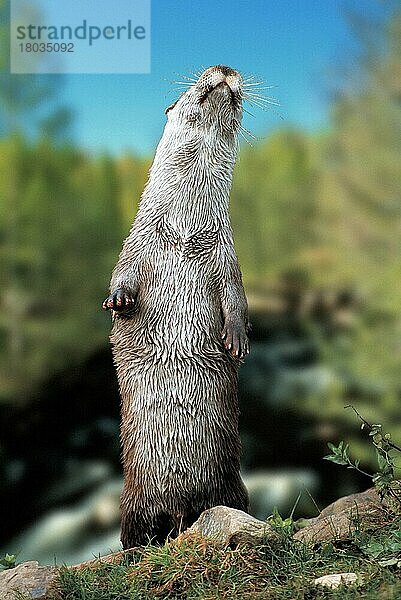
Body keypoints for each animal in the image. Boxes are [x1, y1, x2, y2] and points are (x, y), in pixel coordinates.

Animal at [101, 65, 248, 548]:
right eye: (198, 81)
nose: (225, 70)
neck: (184, 227)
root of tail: (180, 506)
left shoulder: (225, 251)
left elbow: (236, 297)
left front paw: (236, 338)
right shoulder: (138, 240)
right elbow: (122, 273)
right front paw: (118, 299)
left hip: (231, 485)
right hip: (133, 500)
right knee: (134, 534)